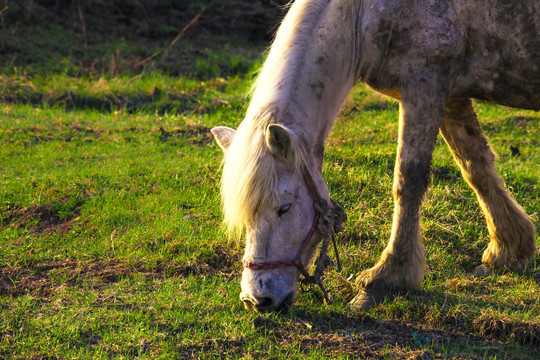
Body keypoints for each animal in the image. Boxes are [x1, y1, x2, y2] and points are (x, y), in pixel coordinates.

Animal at [209, 0, 536, 310]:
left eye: (284, 208)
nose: (257, 299)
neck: (360, 14)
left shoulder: (424, 85)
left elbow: (408, 180)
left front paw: (386, 277)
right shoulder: (450, 93)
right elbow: (475, 166)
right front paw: (508, 248)